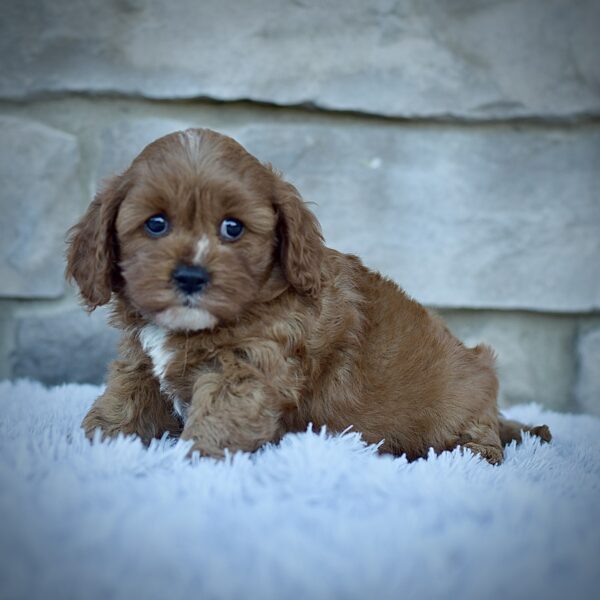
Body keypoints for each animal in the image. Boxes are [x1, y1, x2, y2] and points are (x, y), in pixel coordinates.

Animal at [65, 127, 548, 464]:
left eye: (233, 228)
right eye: (156, 224)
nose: (190, 277)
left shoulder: (249, 369)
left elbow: (218, 421)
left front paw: (192, 464)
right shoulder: (142, 363)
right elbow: (122, 402)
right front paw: (97, 442)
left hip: (466, 398)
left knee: (484, 442)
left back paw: (468, 452)